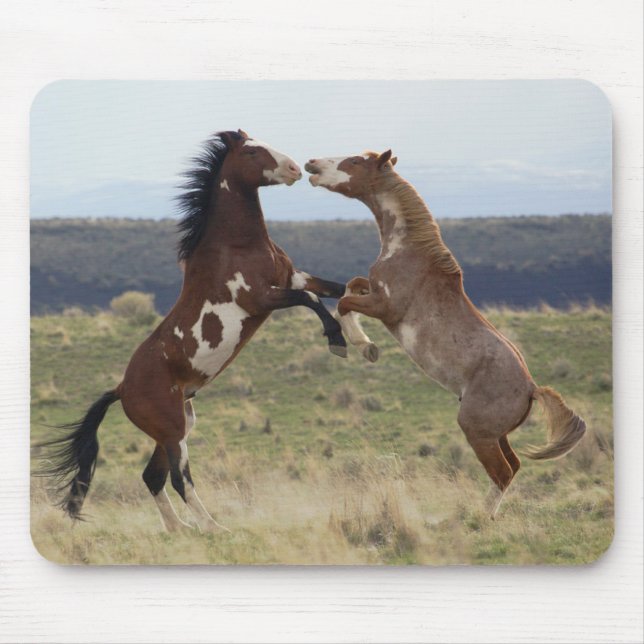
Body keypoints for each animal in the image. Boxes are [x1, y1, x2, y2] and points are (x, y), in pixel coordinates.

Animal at [39, 130, 349, 532]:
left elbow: (342, 288)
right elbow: (312, 300)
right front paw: (338, 340)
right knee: (178, 479)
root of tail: (122, 389)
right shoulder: (262, 297)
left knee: (152, 477)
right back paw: (214, 529)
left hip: (177, 427)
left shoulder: (293, 277)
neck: (237, 245)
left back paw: (180, 531)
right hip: (172, 431)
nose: (296, 168)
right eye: (252, 152)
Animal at [305, 150, 586, 518]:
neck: (409, 252)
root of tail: (531, 389)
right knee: (513, 467)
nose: (311, 165)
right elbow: (352, 285)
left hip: (477, 431)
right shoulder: (374, 291)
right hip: (497, 435)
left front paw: (365, 347)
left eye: (353, 161)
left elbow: (343, 302)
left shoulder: (386, 307)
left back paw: (477, 519)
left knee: (502, 472)